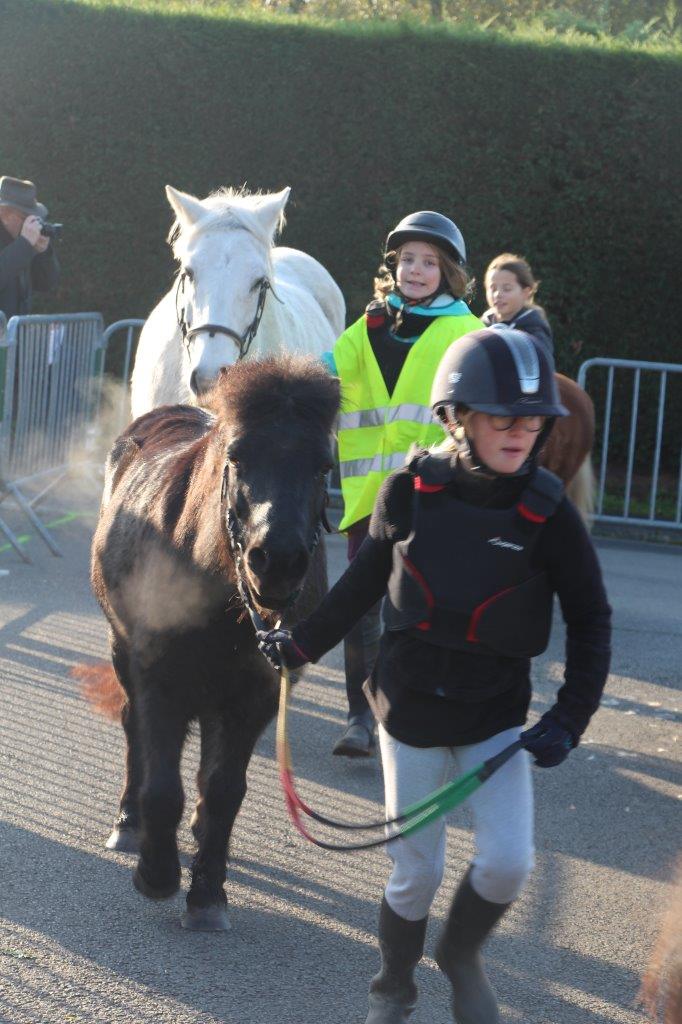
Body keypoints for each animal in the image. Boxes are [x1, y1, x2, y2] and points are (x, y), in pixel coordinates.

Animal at [85, 356, 339, 933]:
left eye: (322, 465)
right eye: (237, 455)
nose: (278, 561)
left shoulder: (255, 695)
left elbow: (223, 790)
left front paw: (206, 892)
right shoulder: (159, 678)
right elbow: (162, 786)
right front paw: (157, 873)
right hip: (122, 650)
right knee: (134, 732)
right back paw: (128, 822)